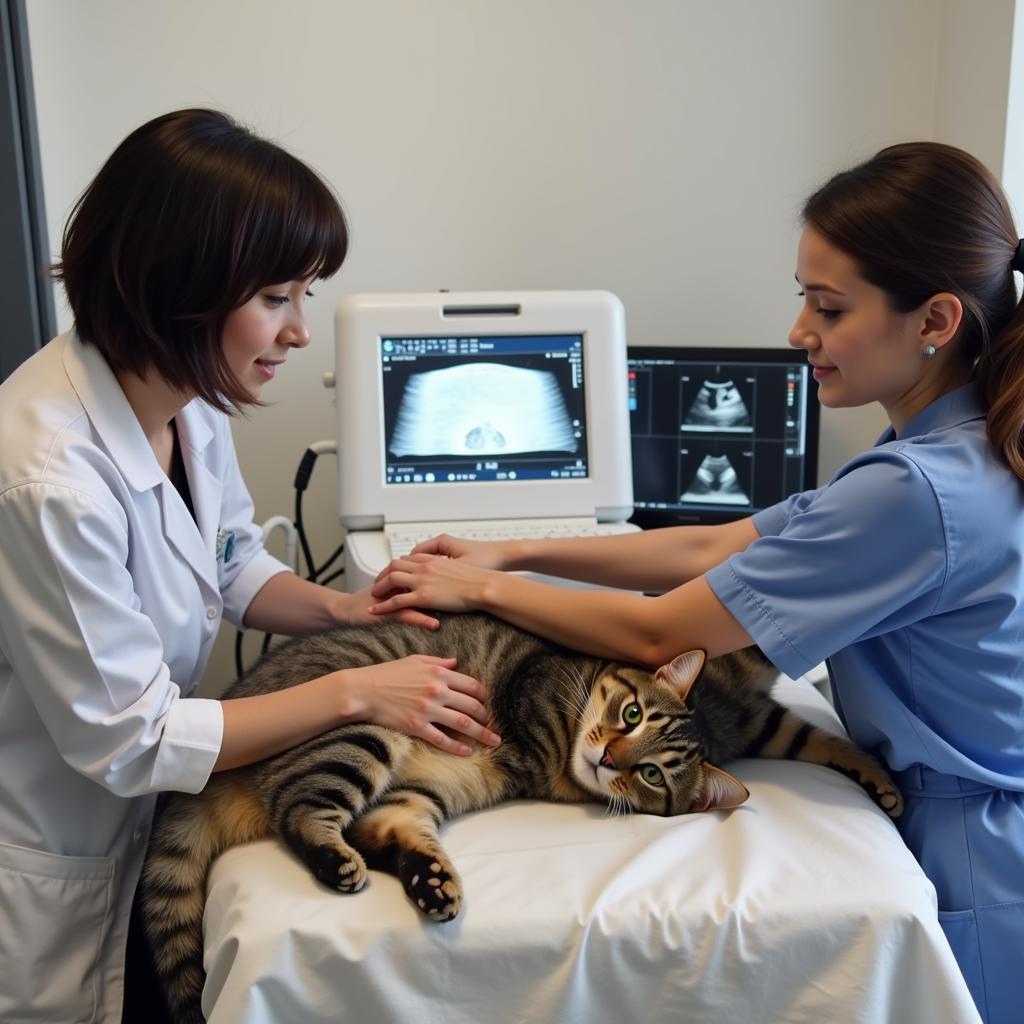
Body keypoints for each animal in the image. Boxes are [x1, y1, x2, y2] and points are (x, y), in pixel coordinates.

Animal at [140, 610, 901, 1019]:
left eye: (654, 773)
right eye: (631, 715)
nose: (611, 757)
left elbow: (816, 736)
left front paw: (878, 775)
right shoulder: (536, 691)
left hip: (420, 790)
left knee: (376, 827)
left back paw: (431, 882)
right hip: (369, 724)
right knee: (300, 808)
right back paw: (338, 862)